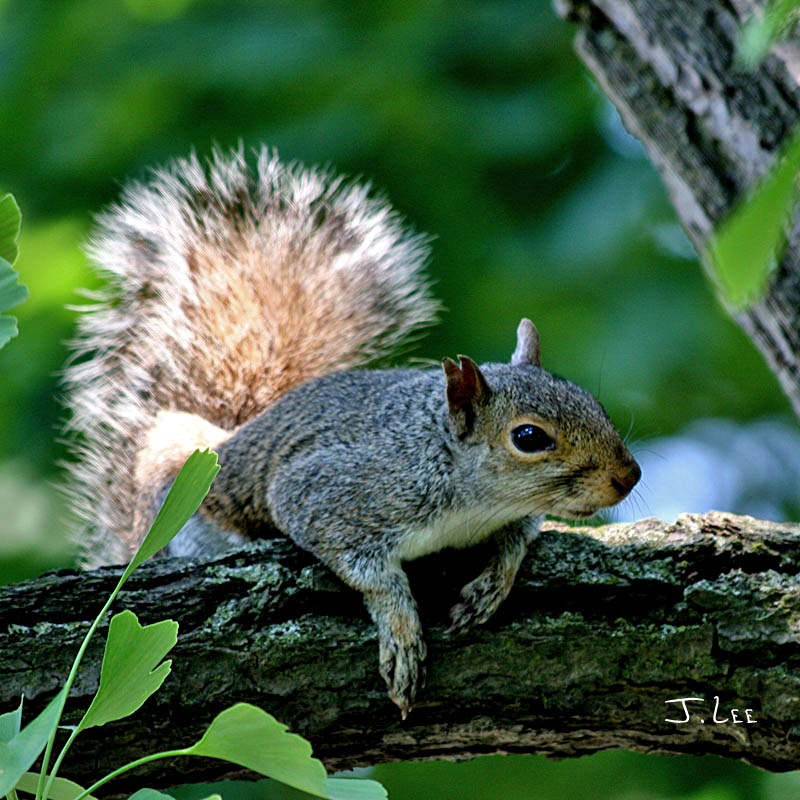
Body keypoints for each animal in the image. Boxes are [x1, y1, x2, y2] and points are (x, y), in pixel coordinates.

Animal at [65, 147, 644, 716]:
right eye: (529, 438)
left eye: (591, 401)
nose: (629, 476)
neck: (464, 491)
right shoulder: (334, 493)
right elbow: (368, 571)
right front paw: (401, 629)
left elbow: (520, 537)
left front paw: (493, 582)